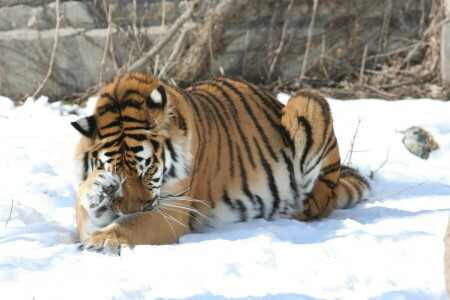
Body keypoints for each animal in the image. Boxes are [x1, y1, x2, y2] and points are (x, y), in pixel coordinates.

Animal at [71, 72, 370, 253]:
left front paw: (102, 240)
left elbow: (130, 225)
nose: (129, 209)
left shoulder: (173, 211)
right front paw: (96, 189)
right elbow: (85, 210)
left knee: (317, 205)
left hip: (308, 100)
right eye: (114, 172)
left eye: (148, 171)